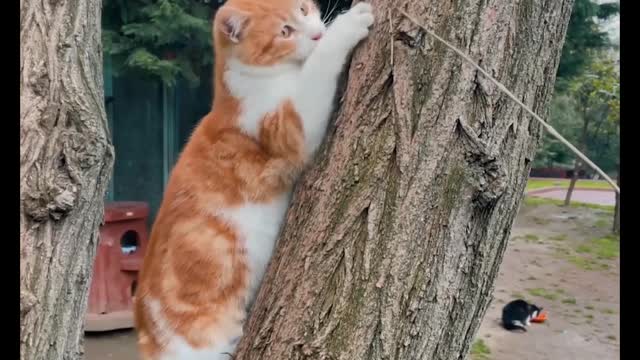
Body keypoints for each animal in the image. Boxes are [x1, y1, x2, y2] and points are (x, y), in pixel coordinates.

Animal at [135, 0, 376, 358]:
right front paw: (346, 26)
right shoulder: (289, 123)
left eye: (303, 10)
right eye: (284, 32)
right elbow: (318, 69)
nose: (316, 34)